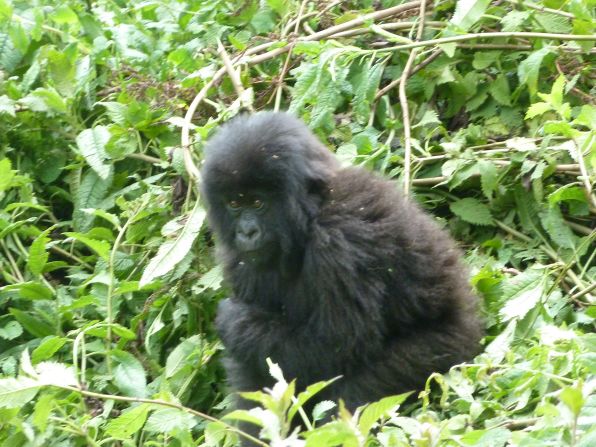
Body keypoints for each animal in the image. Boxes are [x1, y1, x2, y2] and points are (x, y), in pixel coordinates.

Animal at [203, 109, 482, 428]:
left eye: (258, 202)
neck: (311, 214)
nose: (246, 232)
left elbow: (337, 346)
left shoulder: (339, 241)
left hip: (448, 349)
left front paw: (232, 322)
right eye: (234, 203)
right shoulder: (240, 261)